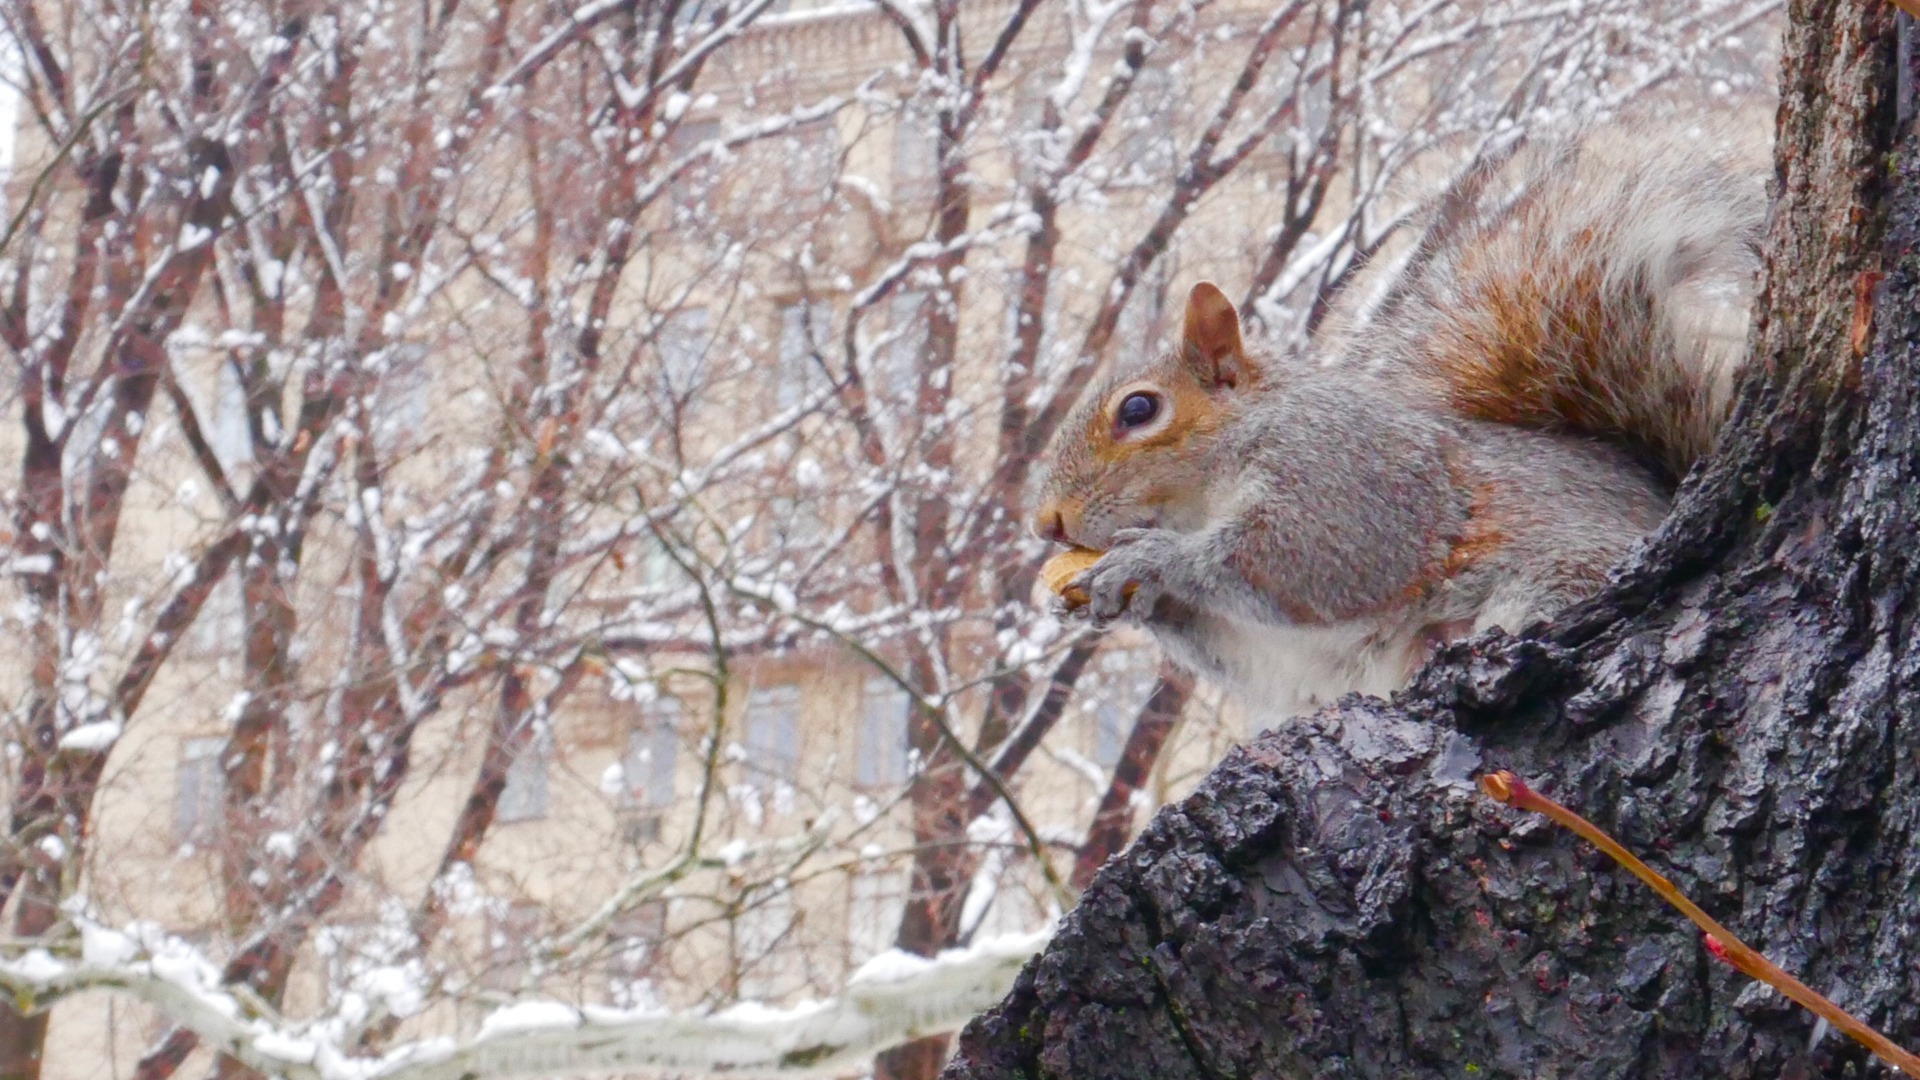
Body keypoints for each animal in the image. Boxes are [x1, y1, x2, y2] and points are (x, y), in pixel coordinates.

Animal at [1029, 127, 1758, 714]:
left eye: (1139, 409)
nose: (1046, 524)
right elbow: (1253, 652)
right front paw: (1117, 603)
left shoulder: (1347, 469)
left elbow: (1304, 557)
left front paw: (1152, 561)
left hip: (1562, 573)